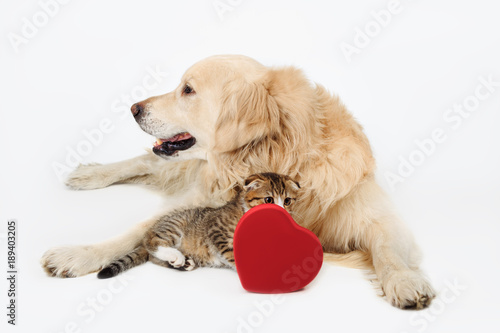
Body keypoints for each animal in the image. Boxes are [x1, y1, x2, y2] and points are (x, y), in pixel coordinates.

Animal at [98, 171, 300, 278]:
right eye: (268, 200)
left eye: (287, 201)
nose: (282, 211)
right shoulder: (216, 230)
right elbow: (233, 254)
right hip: (174, 226)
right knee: (151, 242)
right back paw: (176, 256)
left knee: (151, 257)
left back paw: (182, 262)